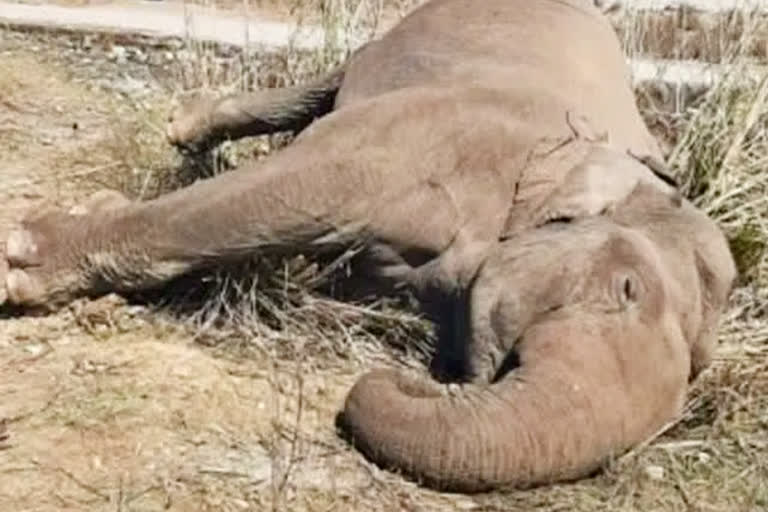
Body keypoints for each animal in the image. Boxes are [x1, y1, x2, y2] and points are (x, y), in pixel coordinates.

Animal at [0, 0, 736, 494]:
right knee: (331, 81)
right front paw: (24, 259)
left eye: (697, 370)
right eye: (626, 288)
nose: (408, 375)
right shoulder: (437, 137)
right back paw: (183, 127)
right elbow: (296, 188)